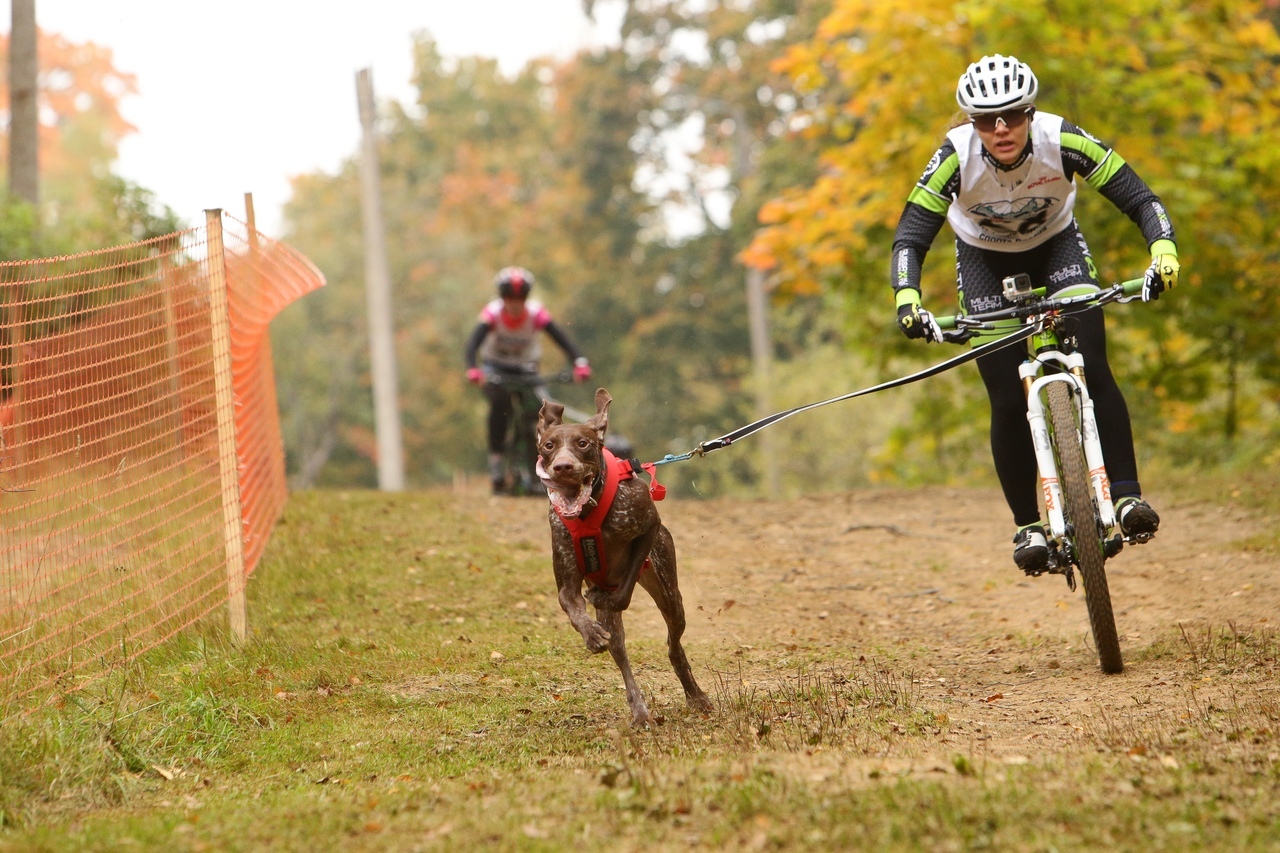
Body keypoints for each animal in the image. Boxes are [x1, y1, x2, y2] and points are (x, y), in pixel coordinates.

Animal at [535, 386, 716, 722]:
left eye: (582, 443)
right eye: (548, 446)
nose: (563, 466)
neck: (588, 511)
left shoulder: (649, 526)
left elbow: (623, 593)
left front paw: (604, 597)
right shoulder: (567, 583)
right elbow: (574, 609)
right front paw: (591, 634)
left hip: (671, 596)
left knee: (673, 645)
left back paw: (695, 695)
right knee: (622, 655)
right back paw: (640, 710)